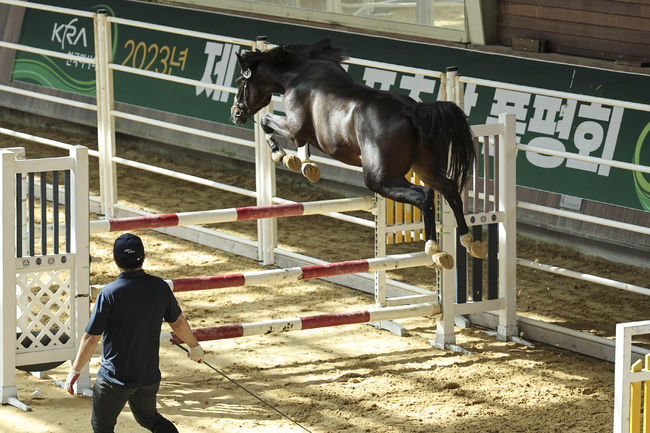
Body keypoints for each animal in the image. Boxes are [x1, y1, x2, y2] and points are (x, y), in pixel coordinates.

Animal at [230, 38, 484, 266]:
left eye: (241, 82)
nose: (236, 113)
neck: (297, 75)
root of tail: (411, 112)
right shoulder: (306, 136)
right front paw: (305, 165)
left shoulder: (295, 130)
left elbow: (266, 121)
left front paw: (283, 156)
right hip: (424, 168)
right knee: (449, 188)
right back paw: (469, 241)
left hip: (380, 179)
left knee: (424, 195)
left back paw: (434, 248)